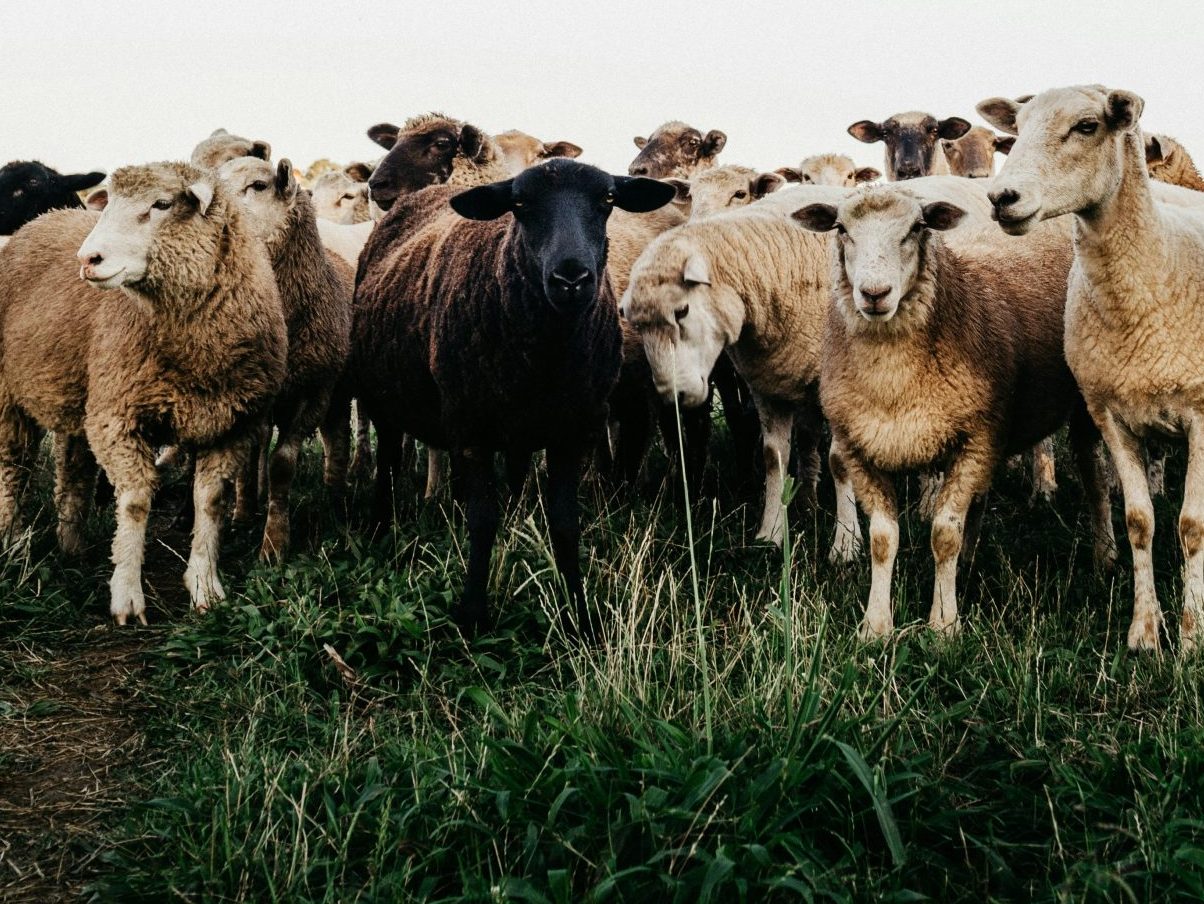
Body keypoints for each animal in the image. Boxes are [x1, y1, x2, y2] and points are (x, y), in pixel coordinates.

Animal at [0, 162, 287, 624]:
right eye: (110, 203)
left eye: (162, 204)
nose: (87, 259)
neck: (193, 353)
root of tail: (42, 220)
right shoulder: (116, 416)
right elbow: (135, 503)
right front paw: (127, 595)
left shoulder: (232, 424)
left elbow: (210, 501)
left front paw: (205, 585)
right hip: (10, 395)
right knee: (14, 467)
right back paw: (11, 541)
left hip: (80, 398)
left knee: (74, 472)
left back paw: (72, 547)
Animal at [217, 156, 353, 561]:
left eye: (259, 186)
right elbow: (248, 455)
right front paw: (243, 515)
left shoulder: (314, 392)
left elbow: (282, 464)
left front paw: (275, 543)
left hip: (338, 389)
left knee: (337, 438)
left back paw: (335, 498)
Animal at [352, 159, 674, 633]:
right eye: (520, 204)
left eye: (608, 199)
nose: (571, 277)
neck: (548, 359)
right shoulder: (472, 430)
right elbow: (483, 521)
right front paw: (473, 614)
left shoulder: (574, 431)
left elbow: (565, 524)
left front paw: (579, 616)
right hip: (383, 399)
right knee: (389, 463)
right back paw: (378, 527)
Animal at [793, 185, 1112, 638]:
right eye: (841, 228)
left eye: (917, 227)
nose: (874, 293)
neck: (894, 384)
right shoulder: (861, 448)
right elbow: (882, 539)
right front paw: (875, 626)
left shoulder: (975, 437)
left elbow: (944, 533)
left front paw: (943, 625)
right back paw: (969, 563)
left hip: (1081, 401)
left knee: (1092, 472)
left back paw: (1105, 556)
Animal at [981, 85, 1204, 653]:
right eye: (1018, 129)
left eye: (1087, 126)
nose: (1001, 198)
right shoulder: (1113, 414)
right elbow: (1139, 519)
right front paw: (1144, 631)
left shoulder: (1201, 417)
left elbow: (1192, 525)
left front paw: (1191, 635)